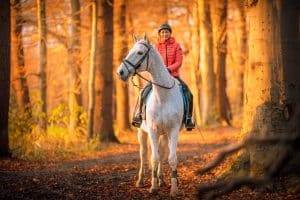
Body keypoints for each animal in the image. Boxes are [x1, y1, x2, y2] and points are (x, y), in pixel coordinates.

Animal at [116, 34, 183, 197]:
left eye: (140, 52)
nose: (120, 72)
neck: (163, 97)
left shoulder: (173, 131)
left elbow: (171, 158)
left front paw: (174, 188)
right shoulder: (152, 130)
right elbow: (154, 158)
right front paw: (153, 187)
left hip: (164, 134)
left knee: (162, 153)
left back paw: (161, 179)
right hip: (142, 132)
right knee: (144, 154)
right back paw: (141, 180)